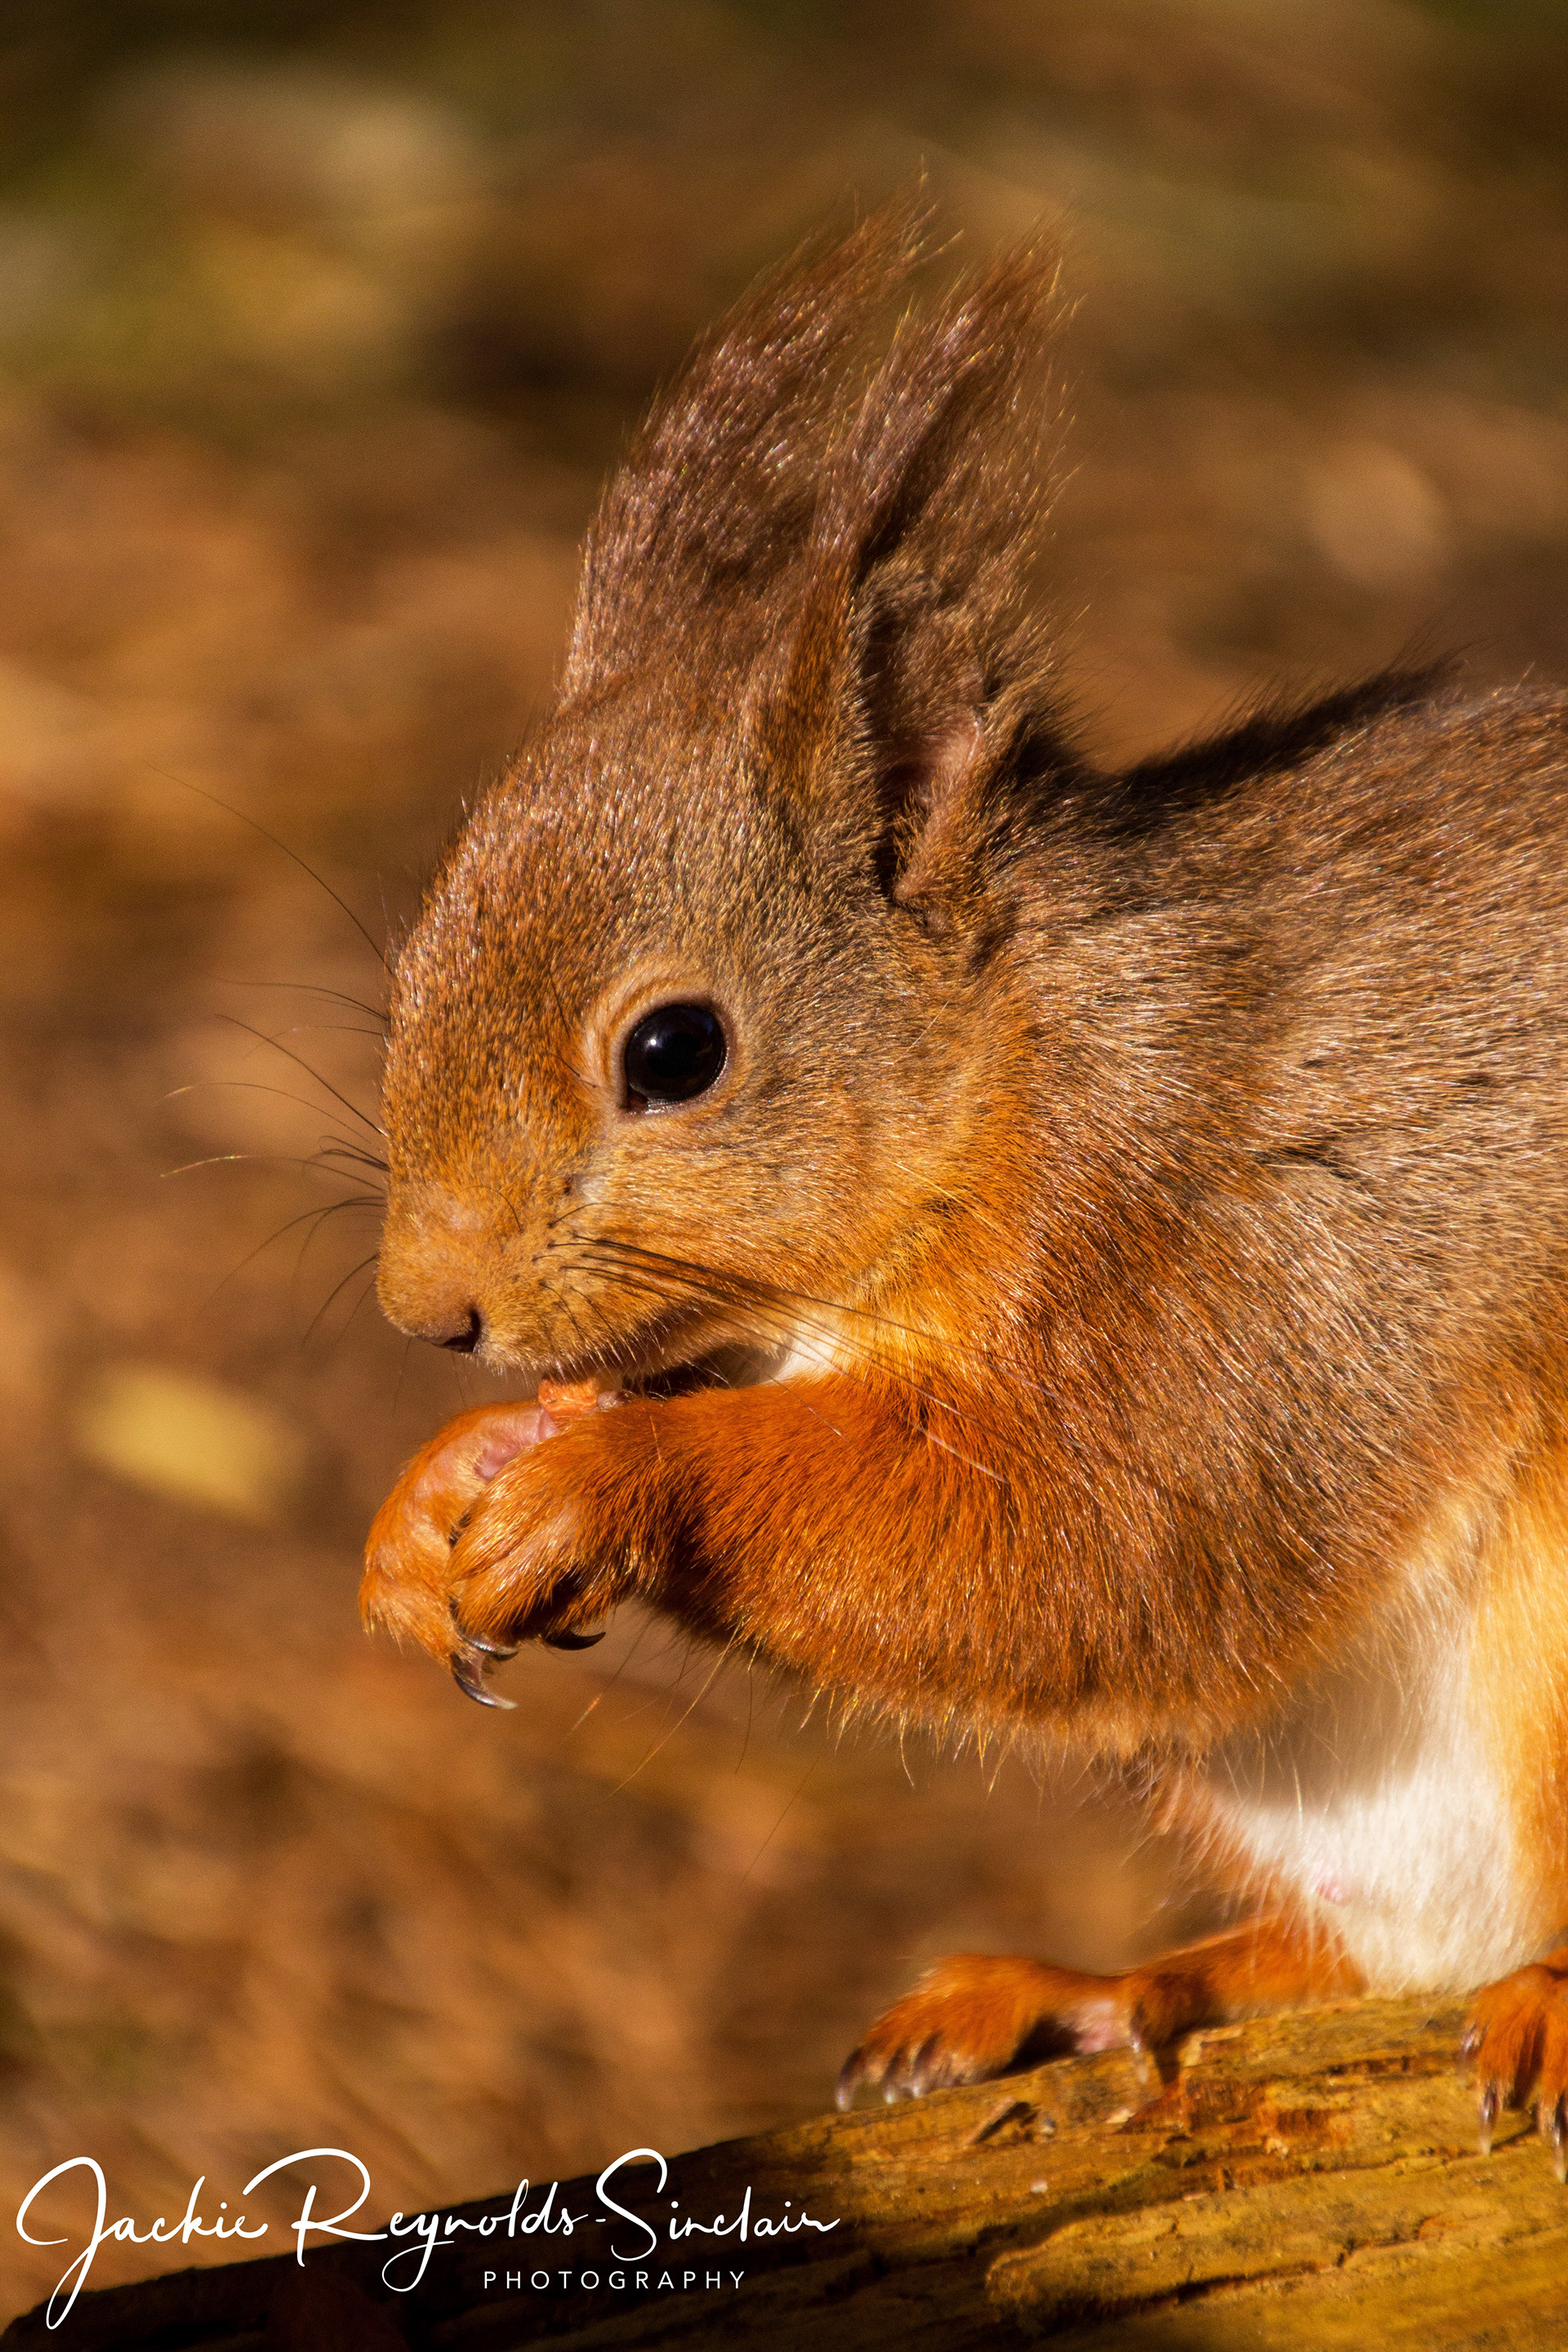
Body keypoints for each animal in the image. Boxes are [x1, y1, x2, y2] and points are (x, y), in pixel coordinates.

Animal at [360, 208, 1568, 2171]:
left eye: (675, 1051)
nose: (428, 1311)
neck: (1014, 1069)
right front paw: (431, 1501)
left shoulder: (1257, 1254)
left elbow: (1095, 1548)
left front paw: (604, 1483)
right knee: (1374, 1949)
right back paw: (1086, 1988)